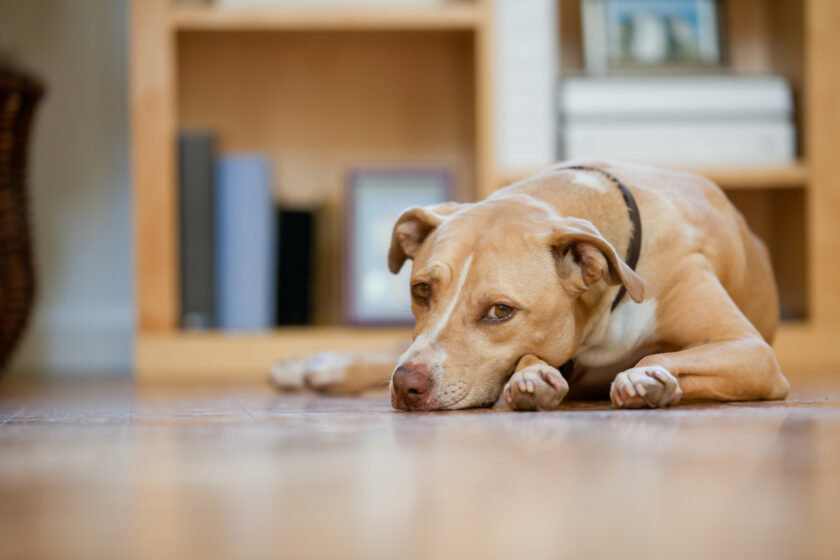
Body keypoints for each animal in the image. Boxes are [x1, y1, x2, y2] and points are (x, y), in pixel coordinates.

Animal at [272, 161, 792, 412]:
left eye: (501, 311)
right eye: (421, 290)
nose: (407, 386)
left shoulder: (752, 351)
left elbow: (657, 356)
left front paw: (646, 379)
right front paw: (530, 378)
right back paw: (316, 366)